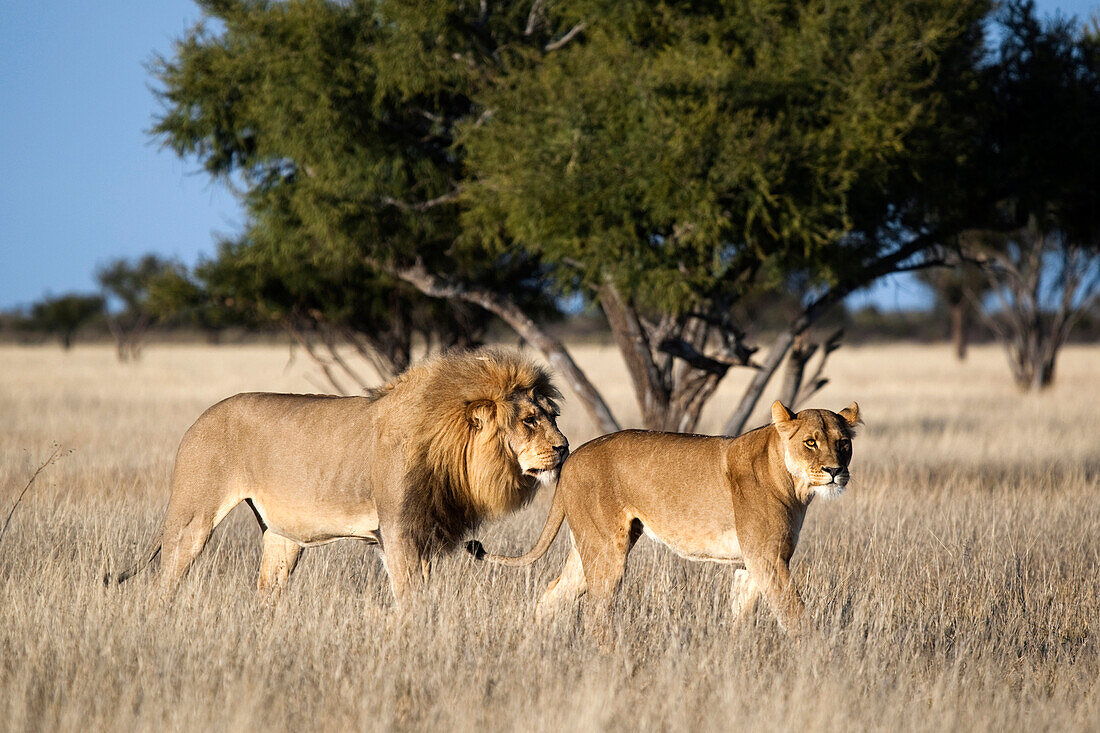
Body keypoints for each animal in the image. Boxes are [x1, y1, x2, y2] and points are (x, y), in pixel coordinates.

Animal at [111, 345, 567, 603]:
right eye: (528, 420)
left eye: (553, 416)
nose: (563, 448)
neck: (453, 450)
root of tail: (198, 421)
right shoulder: (398, 530)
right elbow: (410, 600)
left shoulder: (424, 533)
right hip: (192, 517)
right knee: (164, 584)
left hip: (281, 535)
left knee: (265, 592)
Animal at [466, 396, 858, 629]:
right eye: (810, 442)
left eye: (843, 443)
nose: (835, 470)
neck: (795, 485)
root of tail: (571, 458)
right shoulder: (767, 558)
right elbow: (795, 614)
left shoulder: (750, 563)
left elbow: (741, 617)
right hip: (607, 551)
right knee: (596, 613)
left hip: (588, 545)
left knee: (552, 596)